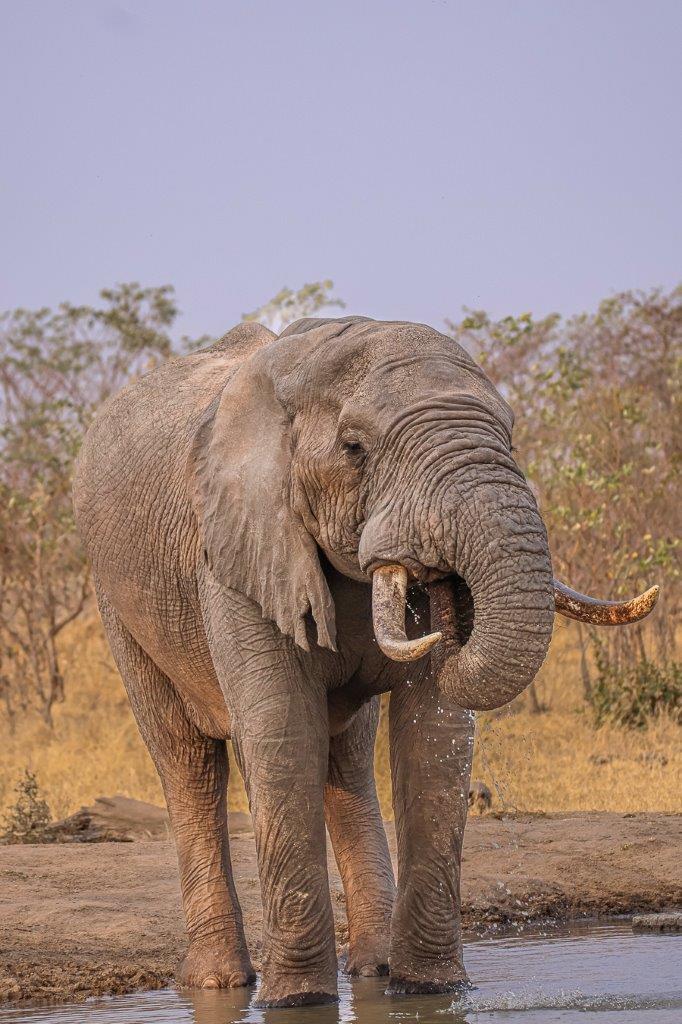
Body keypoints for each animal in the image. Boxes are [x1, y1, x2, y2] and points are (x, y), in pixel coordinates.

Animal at [73, 316, 657, 1007]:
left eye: (510, 436)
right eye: (355, 449)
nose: (446, 601)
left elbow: (433, 735)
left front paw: (431, 990)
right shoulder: (240, 549)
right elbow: (281, 732)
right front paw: (297, 1001)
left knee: (347, 755)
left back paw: (372, 970)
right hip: (116, 597)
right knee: (185, 759)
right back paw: (219, 982)